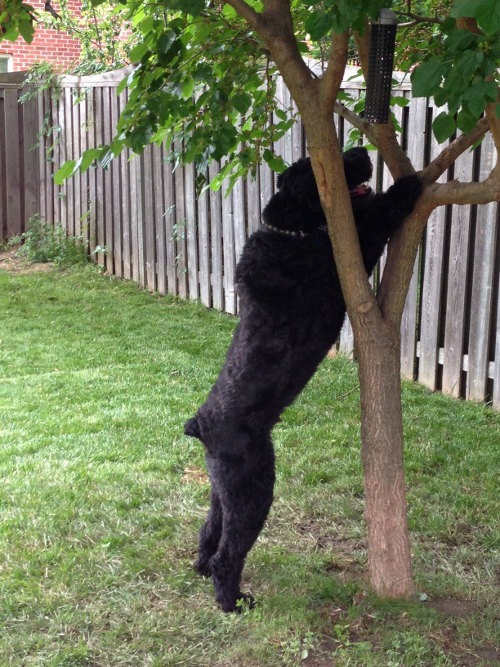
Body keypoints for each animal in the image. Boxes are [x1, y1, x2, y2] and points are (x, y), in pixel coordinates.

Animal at [184, 149, 422, 612]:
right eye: (319, 166)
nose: (361, 153)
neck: (292, 231)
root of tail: (201, 425)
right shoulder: (346, 257)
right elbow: (378, 216)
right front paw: (409, 184)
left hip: (222, 491)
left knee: (209, 531)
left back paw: (204, 571)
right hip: (253, 490)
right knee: (229, 551)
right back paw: (233, 601)